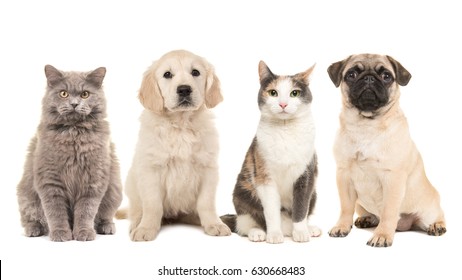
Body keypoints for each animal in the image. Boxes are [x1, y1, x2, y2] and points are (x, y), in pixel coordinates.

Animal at [17, 64, 122, 242]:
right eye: (63, 93)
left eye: (85, 94)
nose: (74, 104)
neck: (74, 134)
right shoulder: (50, 180)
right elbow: (56, 212)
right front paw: (61, 234)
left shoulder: (93, 180)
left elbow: (86, 211)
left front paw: (84, 233)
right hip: (26, 196)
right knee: (31, 218)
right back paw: (33, 230)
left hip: (114, 191)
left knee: (105, 215)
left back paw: (106, 227)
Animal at [124, 49, 231, 241]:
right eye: (167, 74)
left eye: (195, 72)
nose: (184, 89)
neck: (181, 124)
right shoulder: (151, 170)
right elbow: (152, 205)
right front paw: (146, 228)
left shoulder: (208, 168)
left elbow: (206, 203)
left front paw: (214, 224)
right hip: (131, 184)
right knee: (135, 210)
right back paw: (137, 223)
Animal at [222, 60, 320, 243]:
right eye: (273, 93)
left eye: (294, 93)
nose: (283, 104)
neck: (285, 130)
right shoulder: (264, 175)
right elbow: (271, 210)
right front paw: (274, 234)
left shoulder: (306, 175)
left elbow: (301, 207)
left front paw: (301, 232)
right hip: (241, 192)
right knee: (244, 223)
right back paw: (258, 232)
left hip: (315, 194)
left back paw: (309, 229)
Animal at [326, 53, 446, 246]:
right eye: (351, 74)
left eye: (386, 76)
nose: (368, 78)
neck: (366, 126)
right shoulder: (343, 176)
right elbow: (345, 207)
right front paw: (342, 226)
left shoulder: (393, 178)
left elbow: (389, 211)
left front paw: (382, 235)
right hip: (360, 203)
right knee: (370, 214)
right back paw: (367, 218)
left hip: (429, 211)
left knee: (438, 215)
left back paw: (437, 226)